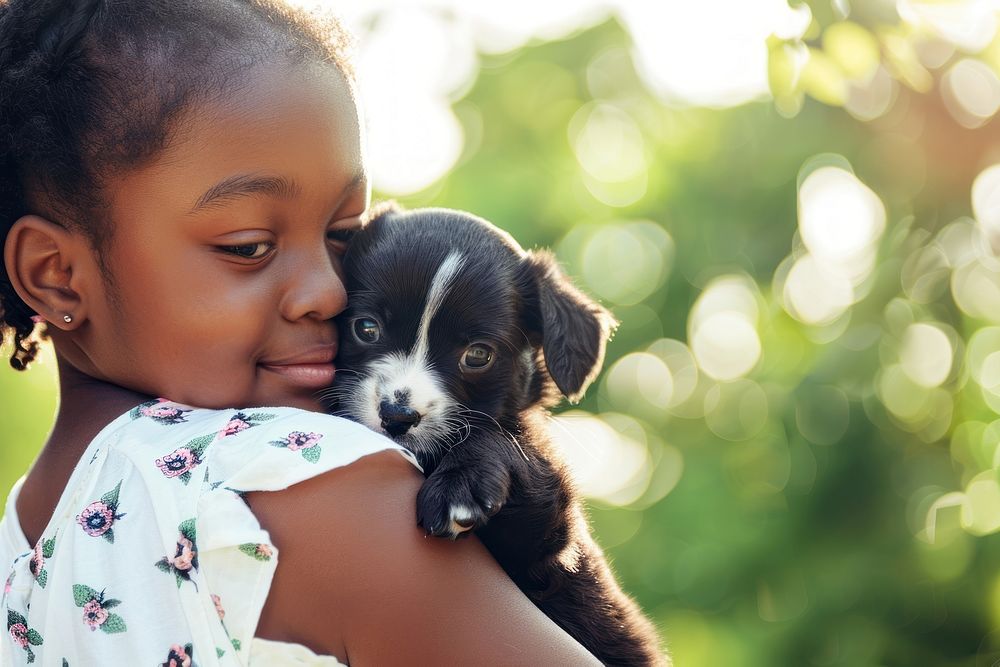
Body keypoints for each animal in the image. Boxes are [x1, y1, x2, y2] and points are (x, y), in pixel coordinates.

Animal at [332, 205, 668, 667]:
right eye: (366, 328)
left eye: (477, 354)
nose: (397, 416)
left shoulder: (547, 543)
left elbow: (497, 438)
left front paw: (460, 485)